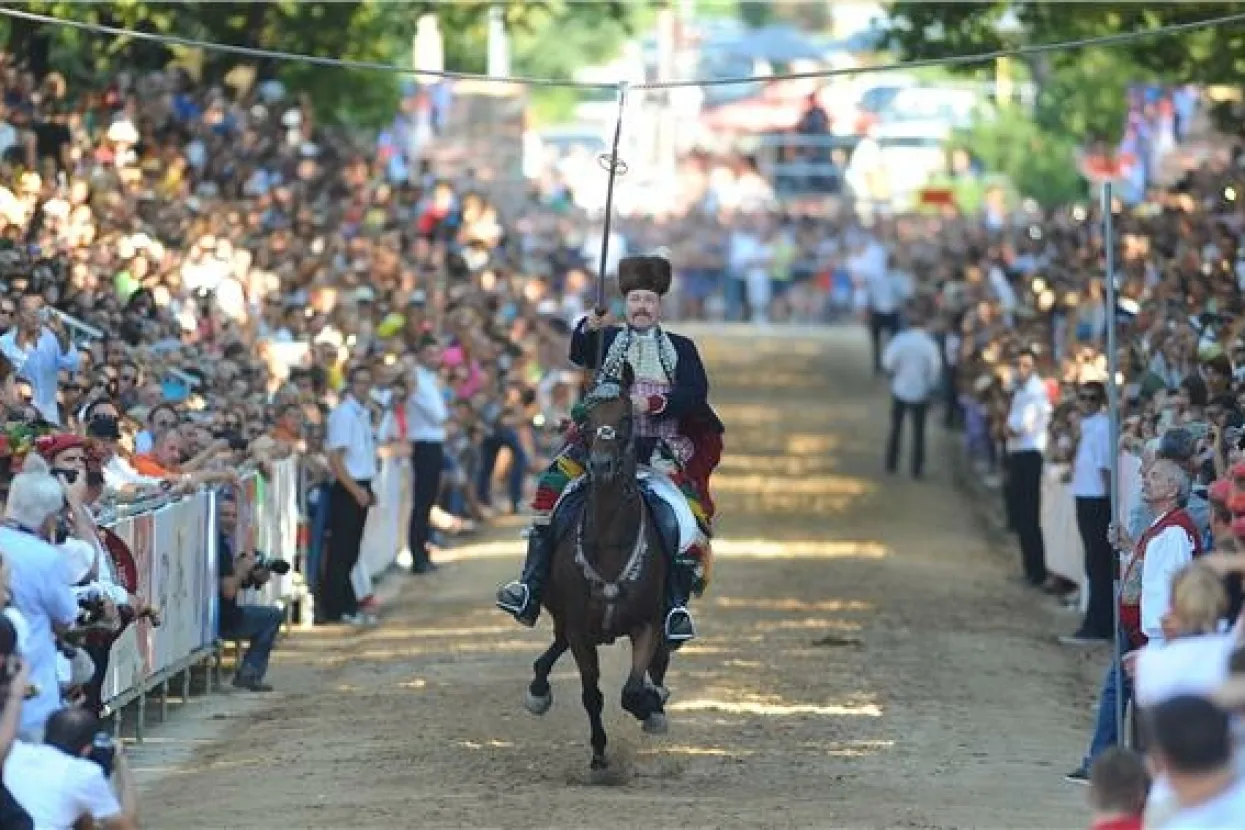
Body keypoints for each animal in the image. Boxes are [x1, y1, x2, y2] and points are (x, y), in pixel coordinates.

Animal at [520, 363, 672, 771]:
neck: (608, 544)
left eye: (626, 418)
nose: (601, 466)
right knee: (556, 641)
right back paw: (538, 688)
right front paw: (600, 752)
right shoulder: (578, 629)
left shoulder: (647, 623)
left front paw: (650, 706)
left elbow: (633, 690)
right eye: (585, 420)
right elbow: (592, 693)